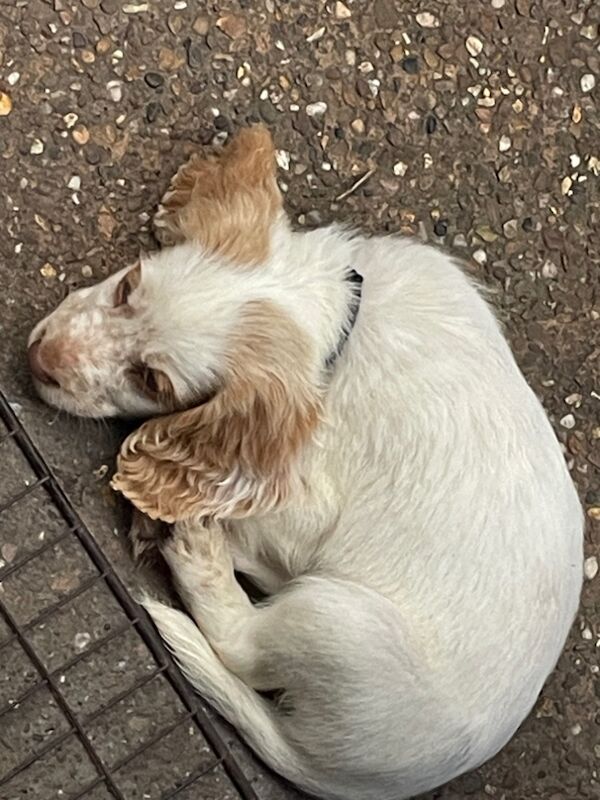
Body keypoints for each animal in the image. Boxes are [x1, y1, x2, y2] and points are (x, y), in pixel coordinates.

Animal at [27, 125, 580, 800]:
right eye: (128, 286)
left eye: (152, 380)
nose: (38, 360)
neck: (340, 326)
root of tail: (340, 774)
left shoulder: (303, 512)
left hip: (340, 623)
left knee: (243, 646)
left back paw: (197, 553)